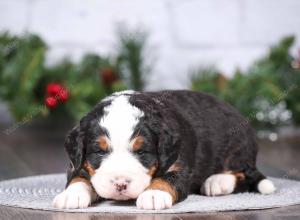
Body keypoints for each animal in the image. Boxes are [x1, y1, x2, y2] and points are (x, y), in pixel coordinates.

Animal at [52, 89, 276, 210]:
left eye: (142, 152)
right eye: (100, 152)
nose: (121, 184)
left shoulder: (179, 166)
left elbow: (167, 179)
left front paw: (154, 194)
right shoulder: (76, 162)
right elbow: (78, 176)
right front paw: (72, 195)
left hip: (237, 148)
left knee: (244, 174)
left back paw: (216, 182)